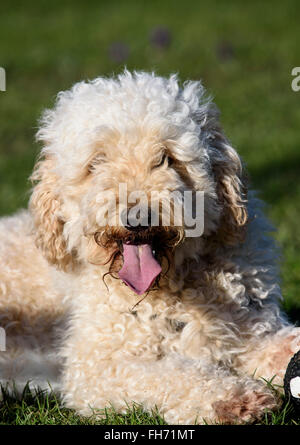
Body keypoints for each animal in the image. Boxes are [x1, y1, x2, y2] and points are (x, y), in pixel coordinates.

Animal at [0, 70, 300, 424]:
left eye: (166, 158)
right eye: (96, 162)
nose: (138, 218)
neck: (169, 288)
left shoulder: (253, 333)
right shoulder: (98, 367)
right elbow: (171, 374)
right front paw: (230, 398)